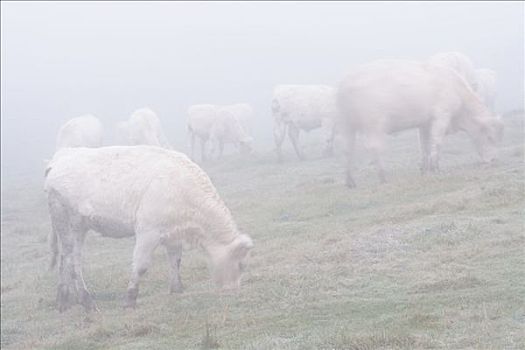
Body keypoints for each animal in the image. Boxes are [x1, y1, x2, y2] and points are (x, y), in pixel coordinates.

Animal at [44, 146, 253, 310]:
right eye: (241, 265)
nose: (233, 290)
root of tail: (59, 158)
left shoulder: (173, 233)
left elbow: (175, 260)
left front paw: (177, 289)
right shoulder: (148, 232)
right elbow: (141, 266)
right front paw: (130, 299)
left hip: (75, 228)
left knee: (66, 260)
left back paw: (63, 300)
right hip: (68, 224)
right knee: (72, 261)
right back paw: (86, 301)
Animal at [336, 59, 504, 189]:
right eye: (489, 137)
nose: (494, 160)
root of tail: (345, 83)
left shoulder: (424, 124)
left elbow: (424, 146)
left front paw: (425, 168)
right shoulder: (441, 117)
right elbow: (436, 142)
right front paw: (436, 167)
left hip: (346, 126)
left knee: (347, 150)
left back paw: (350, 181)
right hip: (374, 125)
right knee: (374, 147)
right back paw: (383, 176)